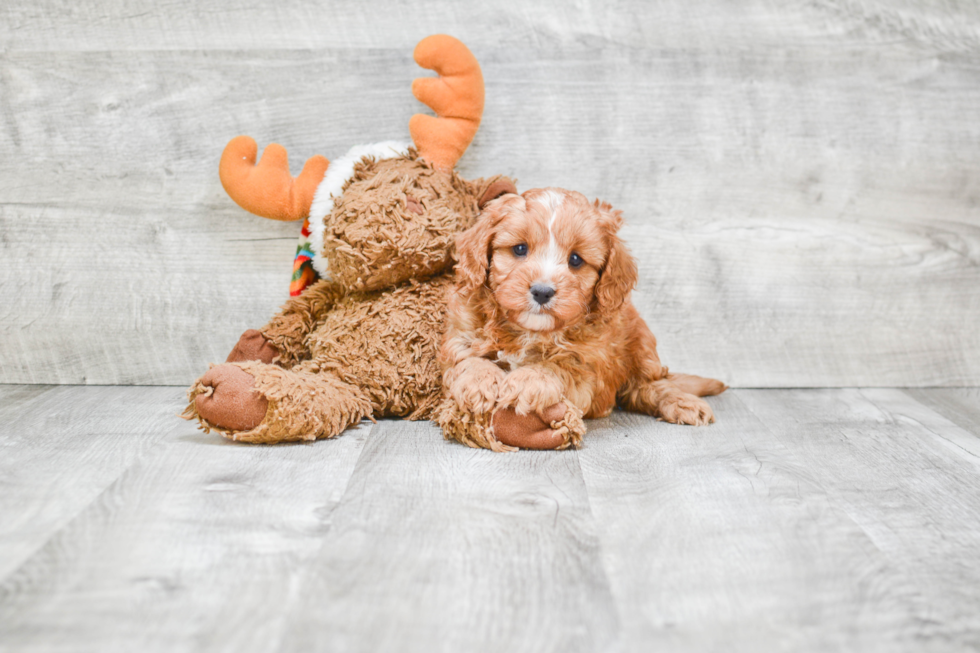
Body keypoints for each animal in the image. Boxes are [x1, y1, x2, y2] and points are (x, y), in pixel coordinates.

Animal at [440, 183, 724, 448]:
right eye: (519, 249)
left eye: (575, 260)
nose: (542, 292)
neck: (530, 331)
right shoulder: (461, 334)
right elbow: (468, 359)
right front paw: (478, 382)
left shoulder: (588, 371)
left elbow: (558, 367)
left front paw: (528, 380)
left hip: (642, 344)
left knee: (649, 386)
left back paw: (682, 402)